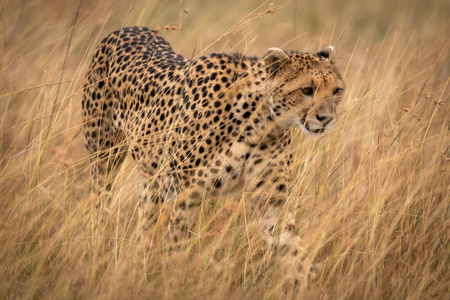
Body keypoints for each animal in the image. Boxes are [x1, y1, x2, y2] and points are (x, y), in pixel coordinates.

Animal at [82, 26, 346, 284]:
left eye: (336, 91)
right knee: (100, 204)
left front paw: (309, 285)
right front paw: (171, 282)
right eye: (307, 90)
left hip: (150, 179)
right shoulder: (185, 195)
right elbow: (176, 246)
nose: (326, 119)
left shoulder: (270, 198)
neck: (261, 122)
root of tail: (127, 28)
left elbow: (292, 248)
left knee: (145, 224)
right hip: (104, 156)